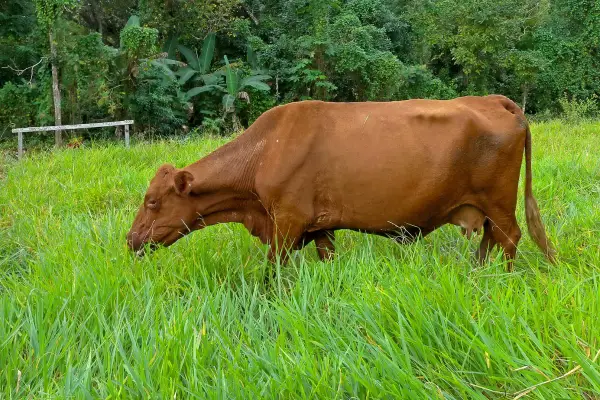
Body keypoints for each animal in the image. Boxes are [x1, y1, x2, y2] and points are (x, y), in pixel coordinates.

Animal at [126, 94, 556, 270]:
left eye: (152, 201)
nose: (130, 239)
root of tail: (494, 99)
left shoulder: (286, 221)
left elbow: (272, 273)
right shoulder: (320, 226)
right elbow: (327, 258)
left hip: (499, 201)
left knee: (510, 237)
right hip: (484, 206)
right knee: (490, 239)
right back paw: (478, 273)